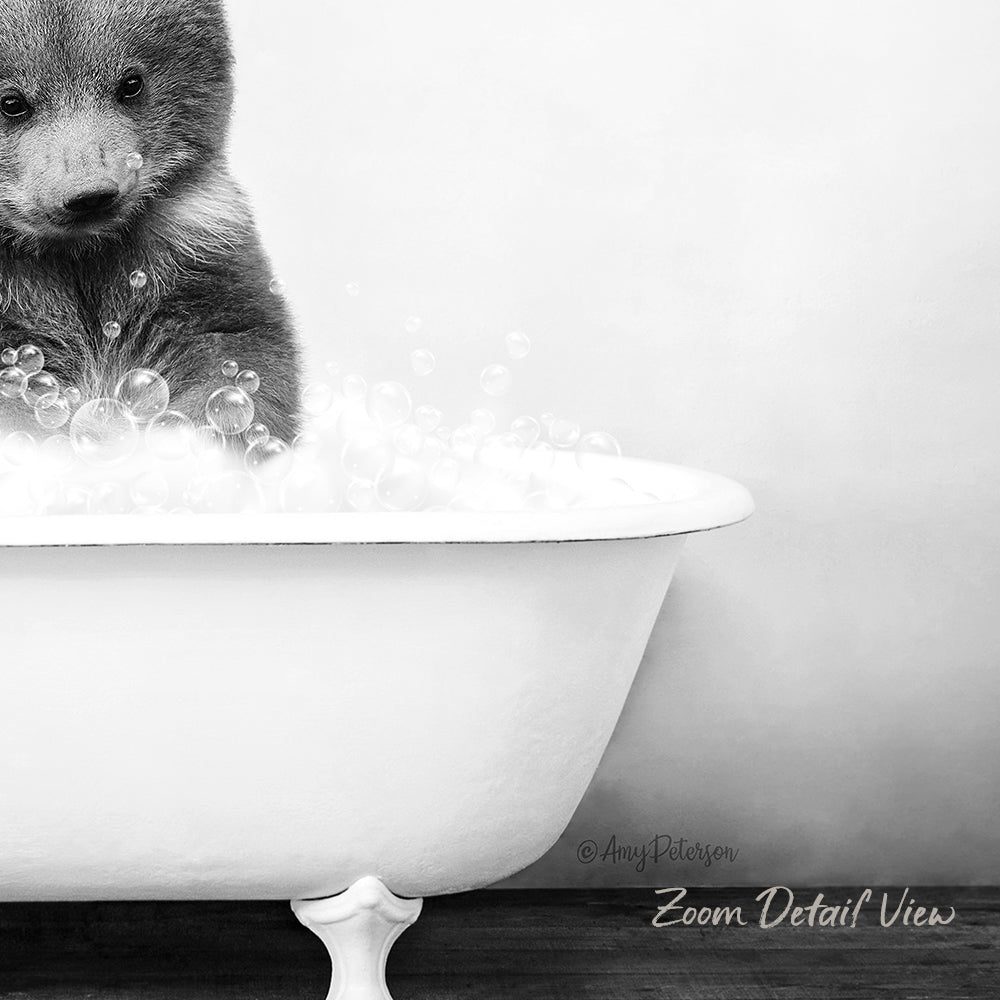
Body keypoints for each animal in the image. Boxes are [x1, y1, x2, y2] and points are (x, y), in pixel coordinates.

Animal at [0, 0, 302, 444]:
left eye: (131, 82)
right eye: (11, 102)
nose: (91, 195)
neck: (79, 252)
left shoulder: (192, 250)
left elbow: (238, 361)